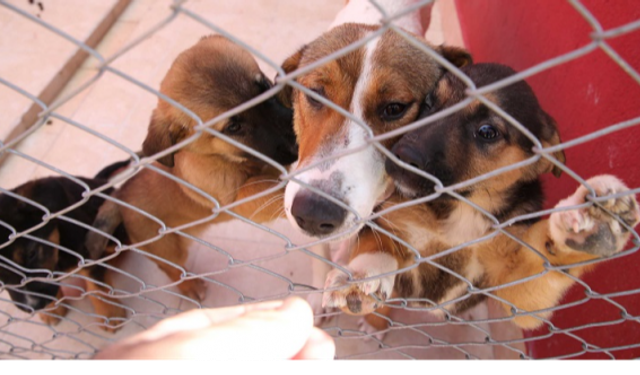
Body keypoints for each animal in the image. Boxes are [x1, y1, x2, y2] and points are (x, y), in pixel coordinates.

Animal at [0, 160, 131, 330]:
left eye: (31, 253)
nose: (34, 307)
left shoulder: (87, 253)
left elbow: (97, 286)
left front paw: (110, 315)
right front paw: (51, 310)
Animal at [86, 36, 298, 302]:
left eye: (264, 86)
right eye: (234, 127)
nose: (297, 138)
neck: (222, 157)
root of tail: (120, 195)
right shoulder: (239, 202)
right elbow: (266, 189)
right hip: (166, 248)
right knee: (172, 270)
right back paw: (190, 287)